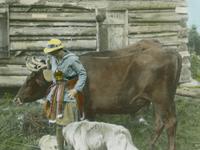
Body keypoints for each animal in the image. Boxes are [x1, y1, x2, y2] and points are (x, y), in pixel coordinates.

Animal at [13, 40, 181, 150]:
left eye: (30, 79)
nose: (16, 99)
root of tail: (171, 52)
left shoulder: (86, 108)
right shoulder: (90, 110)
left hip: (161, 99)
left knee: (170, 122)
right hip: (164, 100)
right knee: (160, 123)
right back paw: (149, 145)